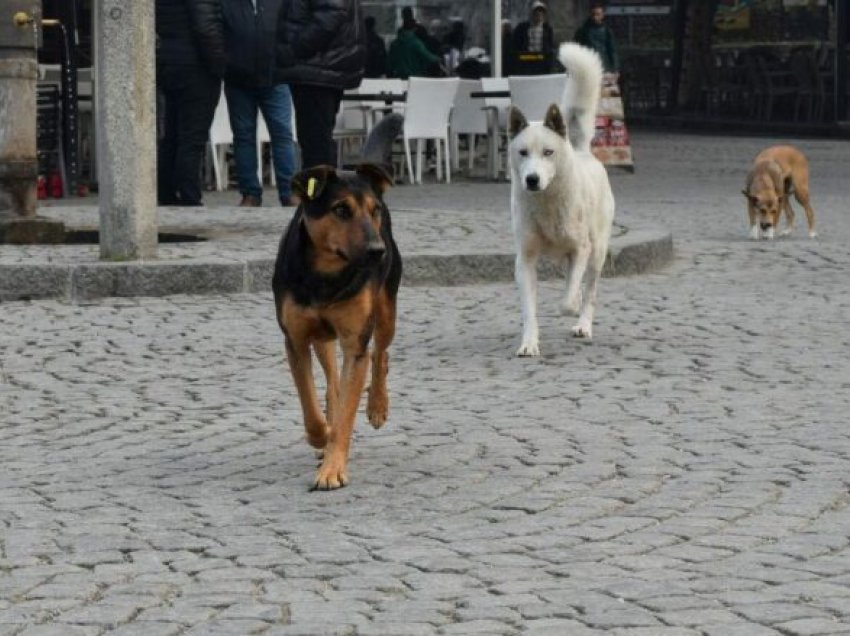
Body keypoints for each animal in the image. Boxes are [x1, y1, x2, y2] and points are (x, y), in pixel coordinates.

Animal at [274, 115, 402, 492]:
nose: (377, 252)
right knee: (331, 383)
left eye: (374, 211)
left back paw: (377, 405)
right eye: (341, 209)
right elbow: (311, 403)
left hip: (386, 310)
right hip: (322, 338)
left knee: (380, 354)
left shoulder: (354, 339)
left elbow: (347, 412)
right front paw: (321, 437)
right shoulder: (296, 339)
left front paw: (332, 469)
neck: (325, 275)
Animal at [506, 42, 612, 356]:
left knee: (589, 290)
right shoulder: (525, 259)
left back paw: (583, 324)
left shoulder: (581, 249)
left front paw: (572, 306)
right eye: (523, 152)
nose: (532, 179)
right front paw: (529, 343)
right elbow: (529, 310)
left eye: (548, 152)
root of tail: (581, 150)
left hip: (597, 252)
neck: (547, 204)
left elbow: (568, 301)